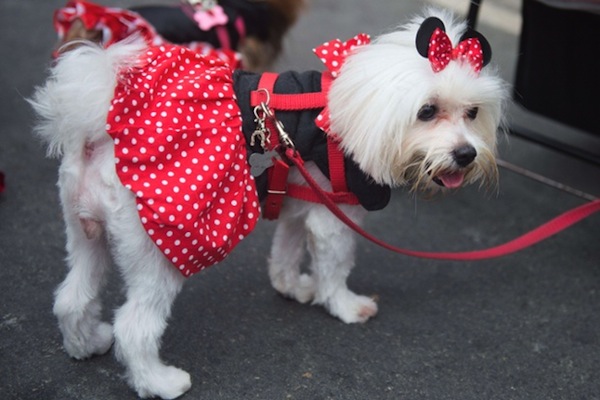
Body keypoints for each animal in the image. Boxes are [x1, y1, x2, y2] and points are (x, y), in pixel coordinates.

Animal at [29, 9, 506, 400]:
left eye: (472, 112)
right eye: (426, 111)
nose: (466, 154)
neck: (346, 109)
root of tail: (99, 130)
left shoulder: (299, 201)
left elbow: (287, 251)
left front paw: (291, 286)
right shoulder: (335, 215)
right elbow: (334, 266)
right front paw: (345, 306)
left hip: (86, 234)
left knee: (71, 298)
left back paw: (85, 344)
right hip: (156, 254)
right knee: (134, 328)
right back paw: (159, 383)